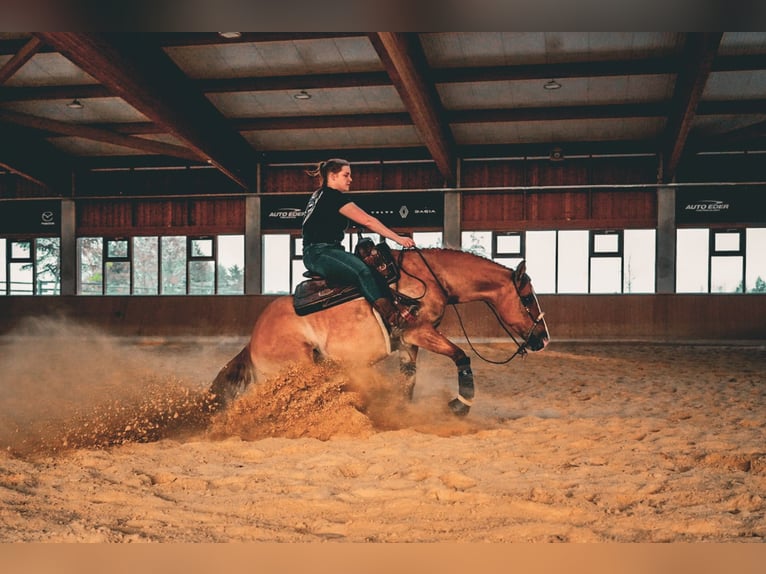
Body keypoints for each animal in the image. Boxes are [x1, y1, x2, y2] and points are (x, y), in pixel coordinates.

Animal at [207, 248, 548, 418]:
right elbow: (462, 356)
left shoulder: (409, 344)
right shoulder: (419, 333)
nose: (543, 338)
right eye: (527, 298)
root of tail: (253, 341)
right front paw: (460, 405)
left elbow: (408, 380)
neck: (429, 278)